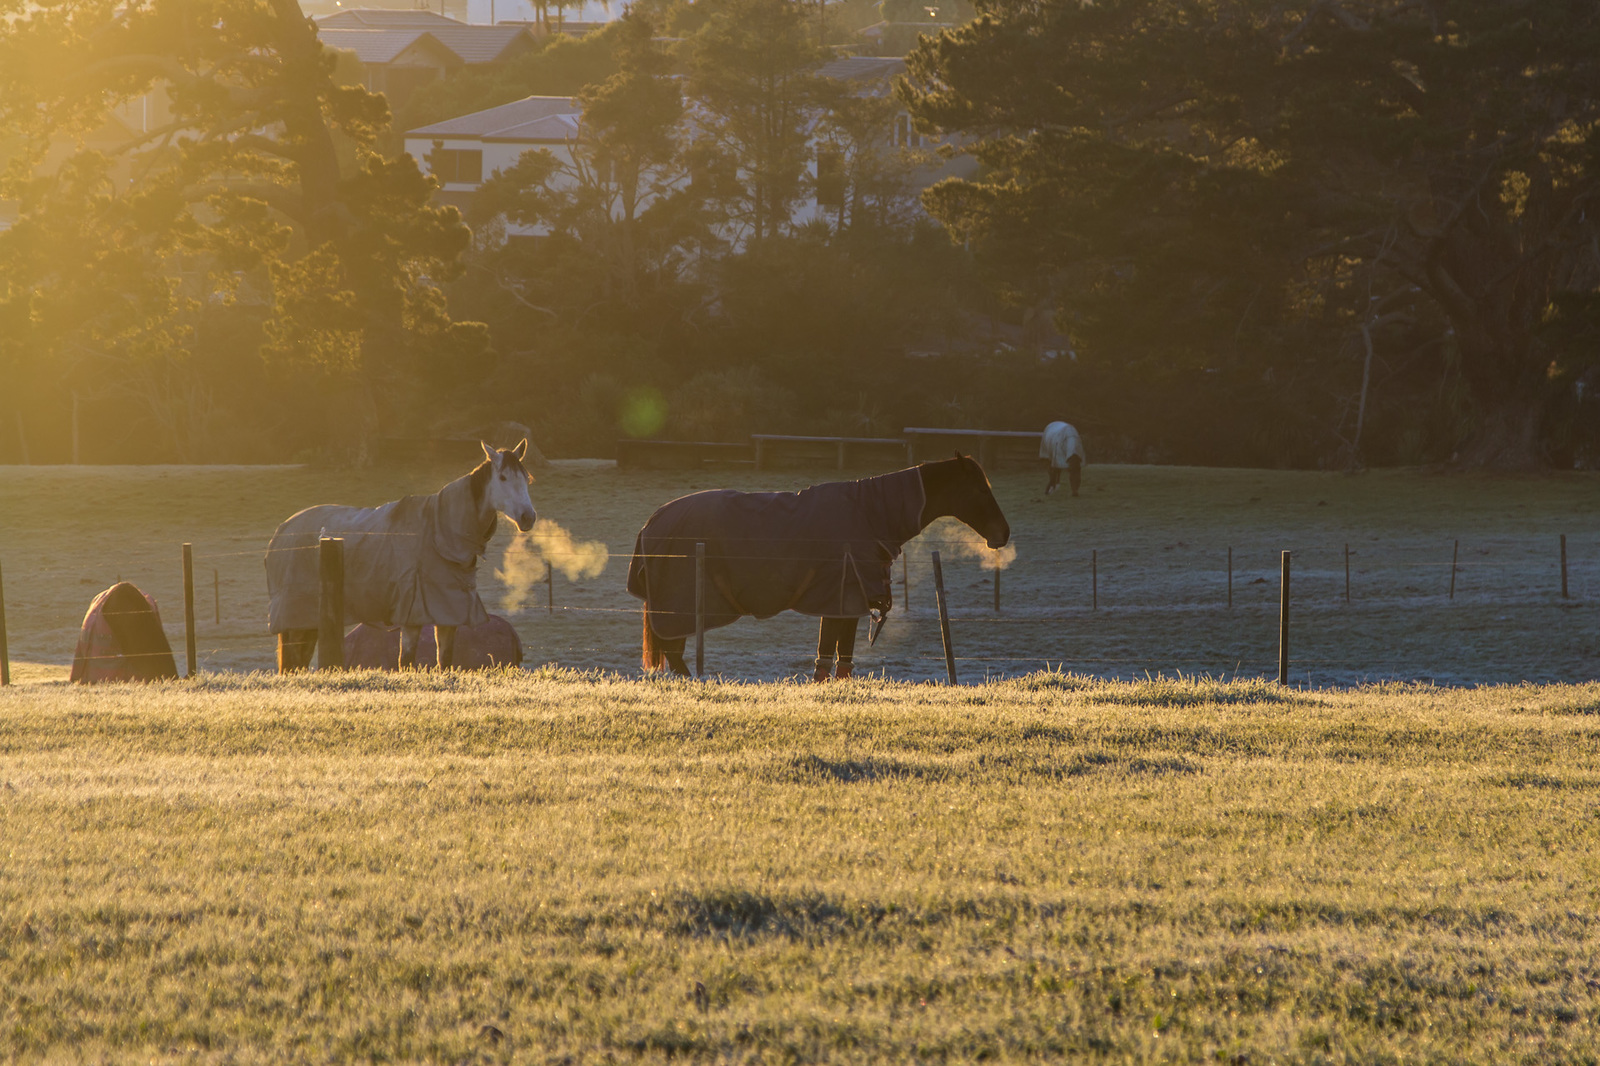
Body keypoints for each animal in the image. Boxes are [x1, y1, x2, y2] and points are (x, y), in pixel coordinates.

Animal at [264, 435, 537, 669]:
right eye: (503, 478)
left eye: (527, 479)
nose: (528, 517)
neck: (439, 533)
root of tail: (282, 531)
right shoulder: (412, 617)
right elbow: (405, 663)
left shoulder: (448, 616)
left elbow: (445, 662)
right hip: (296, 619)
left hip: (307, 622)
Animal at [627, 451, 1011, 675]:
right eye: (980, 489)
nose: (1003, 533)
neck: (870, 513)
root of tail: (651, 522)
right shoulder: (843, 600)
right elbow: (830, 657)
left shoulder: (844, 603)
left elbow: (839, 658)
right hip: (678, 610)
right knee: (675, 655)